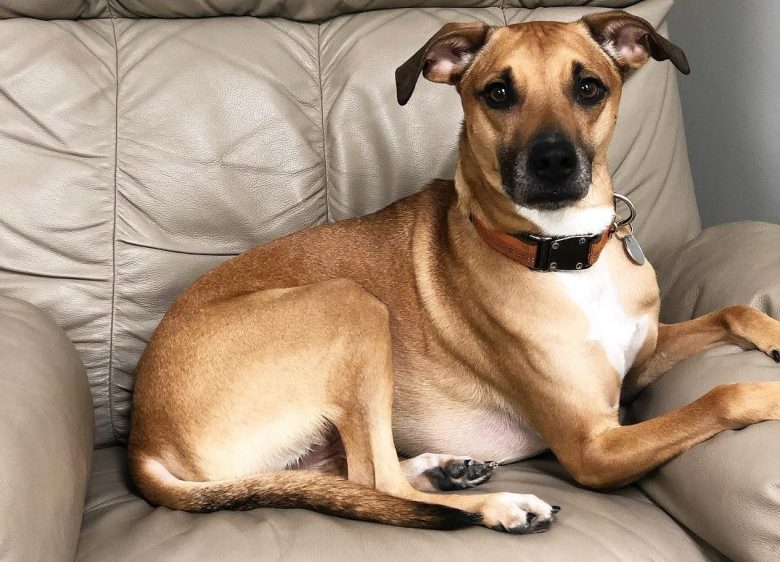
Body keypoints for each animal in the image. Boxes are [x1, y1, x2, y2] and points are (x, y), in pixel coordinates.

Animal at [128, 10, 780, 532]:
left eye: (589, 87)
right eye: (498, 93)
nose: (552, 162)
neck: (562, 251)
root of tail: (142, 437)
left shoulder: (639, 364)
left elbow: (731, 310)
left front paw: (772, 336)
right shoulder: (593, 445)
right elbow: (724, 395)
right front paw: (769, 393)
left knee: (348, 472)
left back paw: (446, 468)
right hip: (349, 301)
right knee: (374, 482)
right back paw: (498, 504)